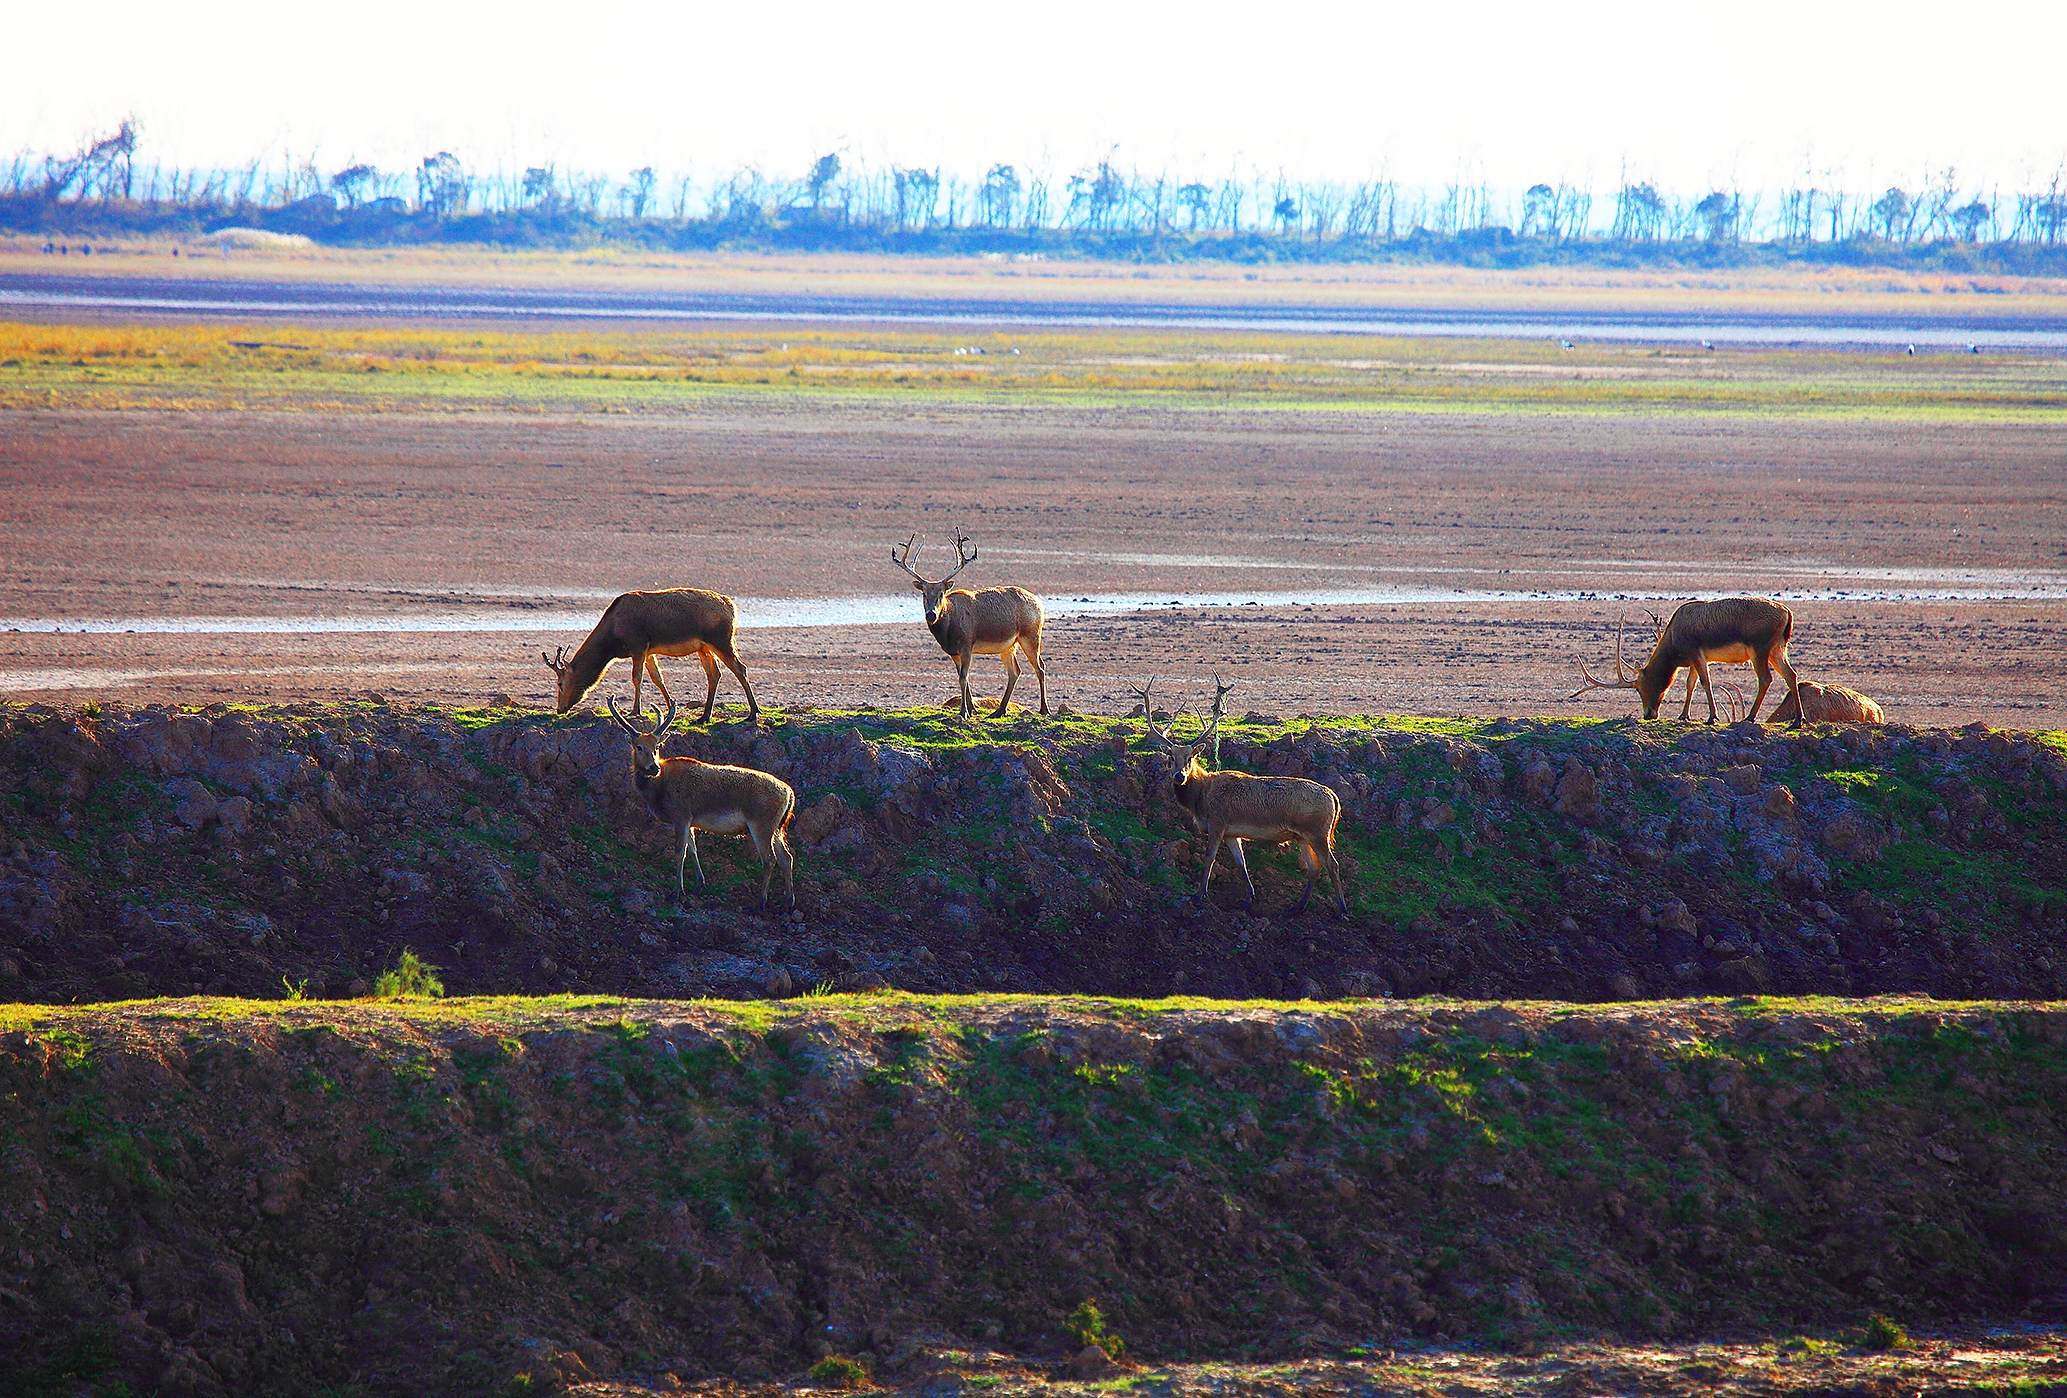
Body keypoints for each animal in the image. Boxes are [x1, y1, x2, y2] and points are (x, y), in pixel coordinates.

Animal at [545, 587, 764, 727]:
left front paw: (635, 710)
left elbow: (637, 677)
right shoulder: (649, 651)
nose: (560, 709)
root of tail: (731, 606)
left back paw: (753, 713)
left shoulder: (638, 646)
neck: (613, 639)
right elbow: (657, 678)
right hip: (703, 647)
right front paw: (670, 707)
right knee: (714, 674)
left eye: (560, 683)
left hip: (721, 640)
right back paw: (704, 716)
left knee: (740, 668)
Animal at [603, 690, 793, 905]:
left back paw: (760, 902)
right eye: (639, 747)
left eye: (657, 746)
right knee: (786, 857)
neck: (658, 791)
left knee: (769, 859)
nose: (653, 767)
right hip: (778, 827)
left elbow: (680, 852)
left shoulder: (681, 814)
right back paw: (788, 901)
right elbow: (693, 849)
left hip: (761, 823)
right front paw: (699, 884)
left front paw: (677, 892)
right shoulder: (691, 820)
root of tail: (789, 794)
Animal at [892, 527, 1050, 719]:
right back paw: (999, 710)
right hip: (1009, 646)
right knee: (1015, 672)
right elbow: (962, 678)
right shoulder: (953, 652)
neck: (948, 632)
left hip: (1031, 635)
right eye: (924, 594)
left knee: (1040, 667)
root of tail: (1039, 602)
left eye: (941, 594)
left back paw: (1044, 709)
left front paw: (964, 712)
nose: (931, 614)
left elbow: (963, 677)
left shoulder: (967, 644)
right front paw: (972, 709)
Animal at [1132, 678, 1355, 918]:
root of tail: (1334, 798)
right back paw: (1298, 906)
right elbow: (1241, 863)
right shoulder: (1232, 833)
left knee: (1332, 864)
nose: (1179, 776)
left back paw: (1342, 909)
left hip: (1317, 831)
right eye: (1171, 757)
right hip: (1302, 836)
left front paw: (1200, 894)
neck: (1201, 799)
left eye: (1190, 757)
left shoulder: (1217, 823)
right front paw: (1249, 898)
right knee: (1314, 867)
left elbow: (1209, 858)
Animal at [1570, 599, 1802, 727]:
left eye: (1639, 687)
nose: (1648, 714)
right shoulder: (1695, 658)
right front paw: (1684, 715)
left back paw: (1751, 718)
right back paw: (1797, 721)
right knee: (1791, 675)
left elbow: (1705, 682)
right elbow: (1690, 683)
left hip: (1759, 647)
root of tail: (1788, 614)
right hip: (1777, 648)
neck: (1673, 642)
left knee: (1766, 678)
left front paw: (1712, 717)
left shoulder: (1695, 651)